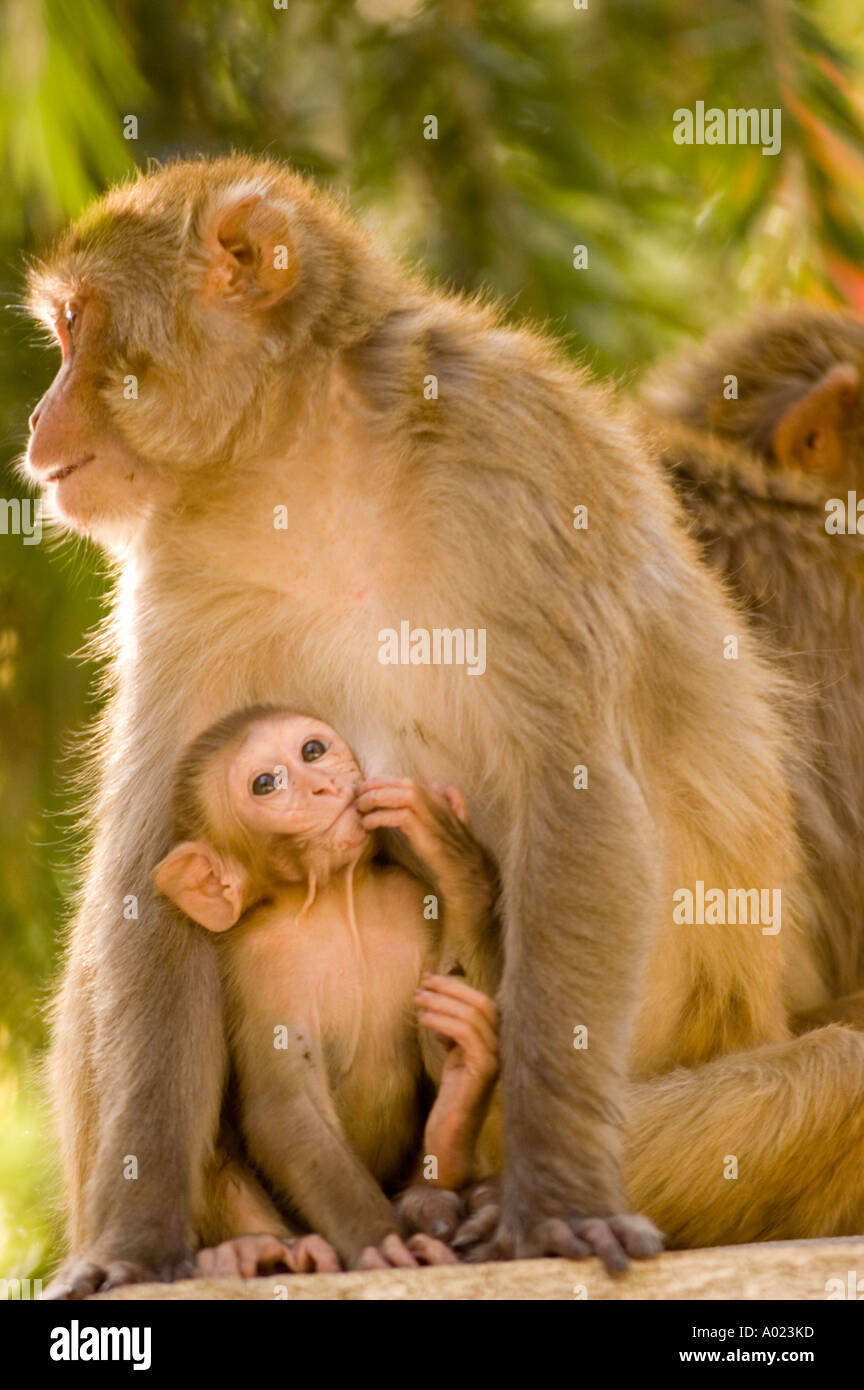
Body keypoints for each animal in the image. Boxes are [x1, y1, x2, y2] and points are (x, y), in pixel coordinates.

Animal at [153, 704, 499, 1272]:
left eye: (312, 750)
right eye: (266, 784)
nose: (322, 785)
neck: (339, 901)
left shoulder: (412, 903)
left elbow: (436, 1048)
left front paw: (452, 856)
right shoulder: (260, 962)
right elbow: (286, 1107)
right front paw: (383, 1244)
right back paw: (257, 1253)